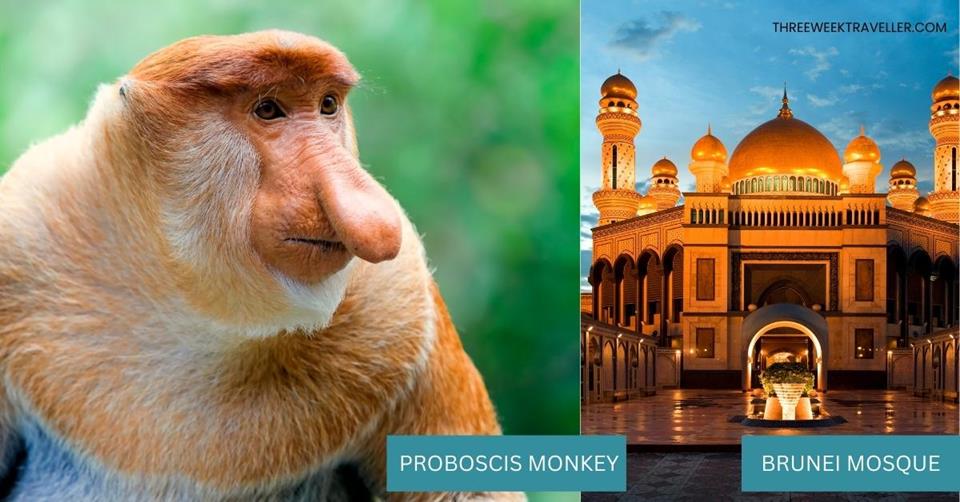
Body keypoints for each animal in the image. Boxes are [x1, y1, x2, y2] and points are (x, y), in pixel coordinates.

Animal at [0, 31, 523, 501]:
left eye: (328, 105)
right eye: (268, 109)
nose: (372, 213)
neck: (192, 305)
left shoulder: (402, 299)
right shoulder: (19, 239)